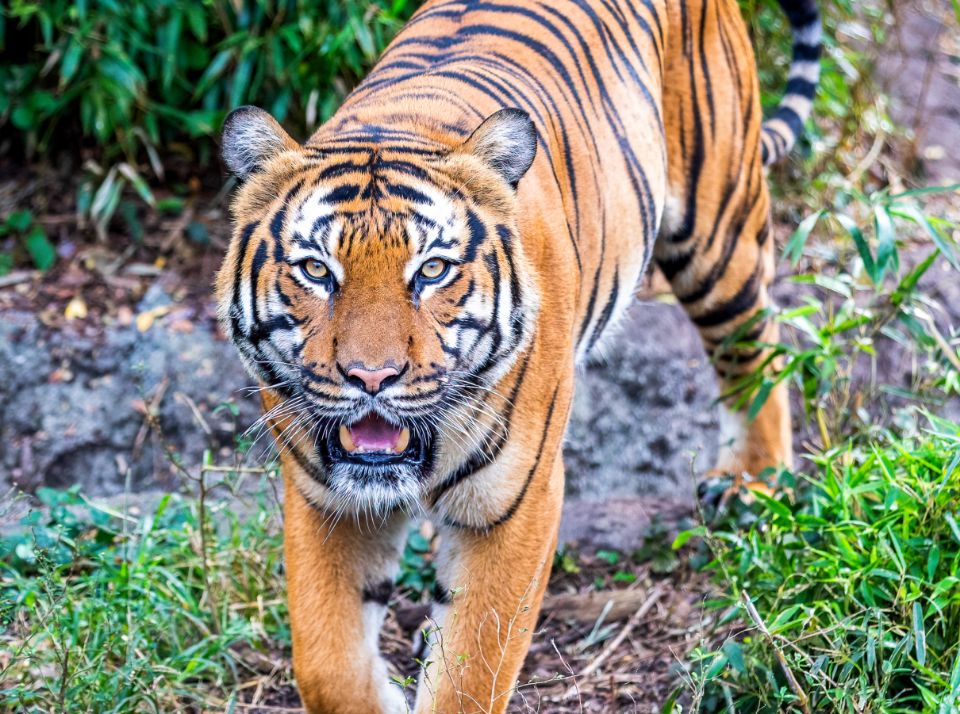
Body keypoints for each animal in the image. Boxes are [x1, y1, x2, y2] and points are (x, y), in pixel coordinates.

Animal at [216, 0, 821, 711]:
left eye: (433, 270)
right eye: (315, 270)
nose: (371, 377)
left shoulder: (513, 504)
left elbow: (472, 672)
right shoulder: (325, 500)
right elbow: (328, 665)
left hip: (717, 230)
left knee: (755, 345)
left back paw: (755, 483)